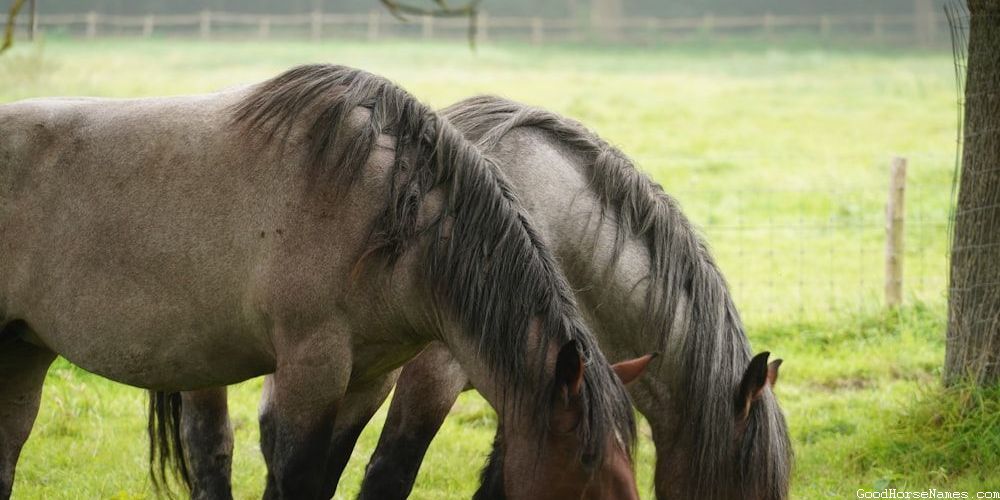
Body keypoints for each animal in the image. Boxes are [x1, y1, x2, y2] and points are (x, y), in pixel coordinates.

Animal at [0, 65, 649, 500]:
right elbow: (297, 478)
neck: (389, 217)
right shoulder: (312, 369)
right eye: (587, 469)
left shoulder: (368, 377)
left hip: (25, 351)